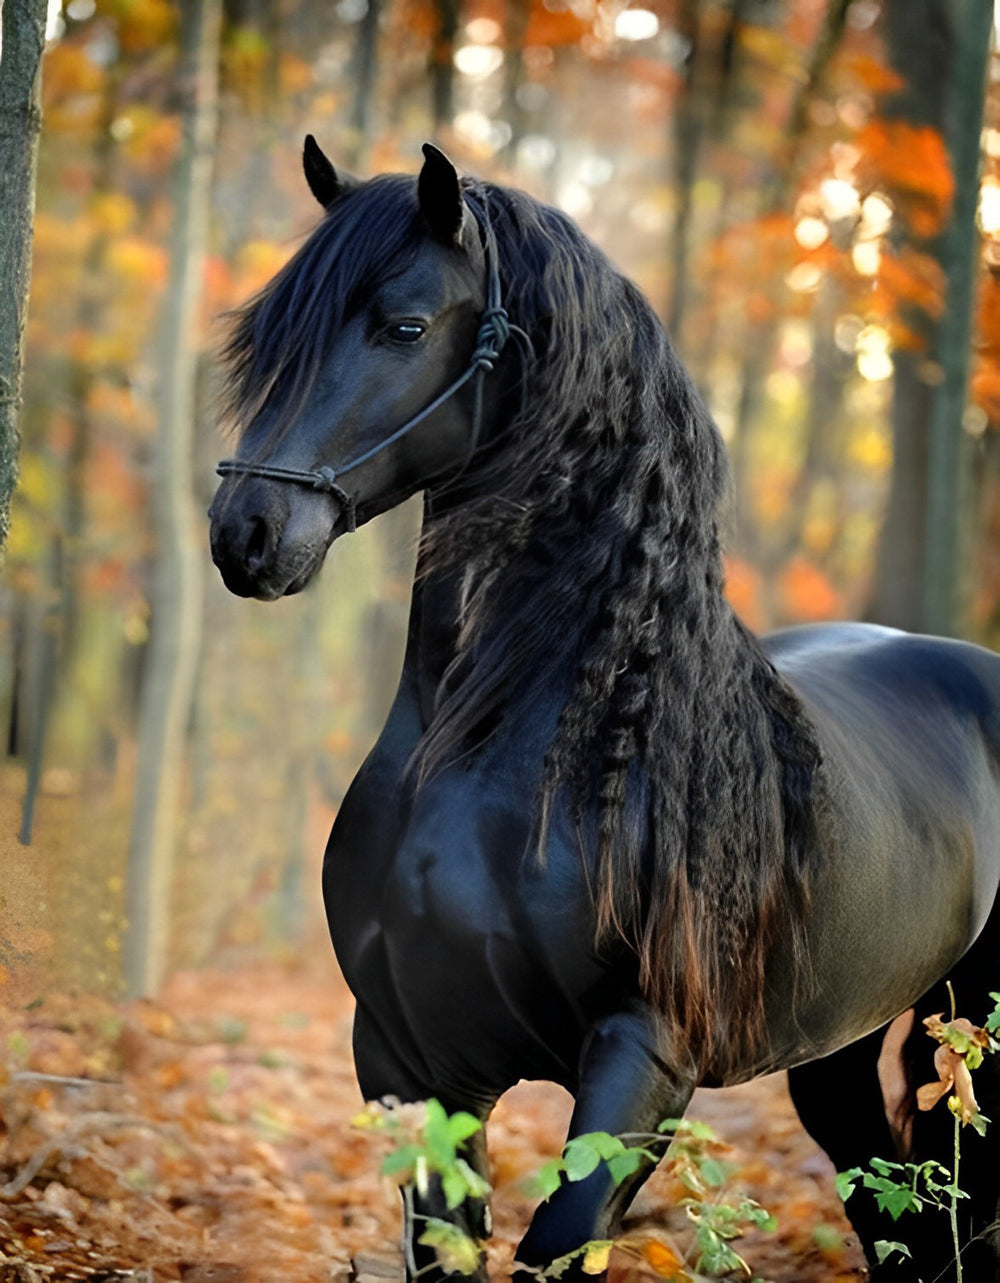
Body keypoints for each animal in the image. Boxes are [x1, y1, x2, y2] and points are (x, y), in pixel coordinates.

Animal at [208, 138, 1000, 1282]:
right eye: (269, 335)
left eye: (405, 326)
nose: (247, 532)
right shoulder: (408, 1060)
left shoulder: (641, 1056)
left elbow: (558, 1236)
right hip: (842, 1044)